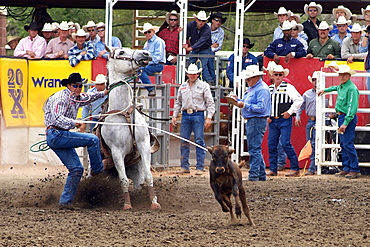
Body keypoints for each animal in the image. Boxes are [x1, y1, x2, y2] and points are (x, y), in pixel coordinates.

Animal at [99, 46, 160, 210]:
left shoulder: (144, 145)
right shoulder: (116, 152)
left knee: (139, 182)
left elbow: (148, 175)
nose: (146, 53)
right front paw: (127, 204)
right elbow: (123, 180)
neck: (125, 112)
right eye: (121, 52)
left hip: (136, 168)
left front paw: (154, 202)